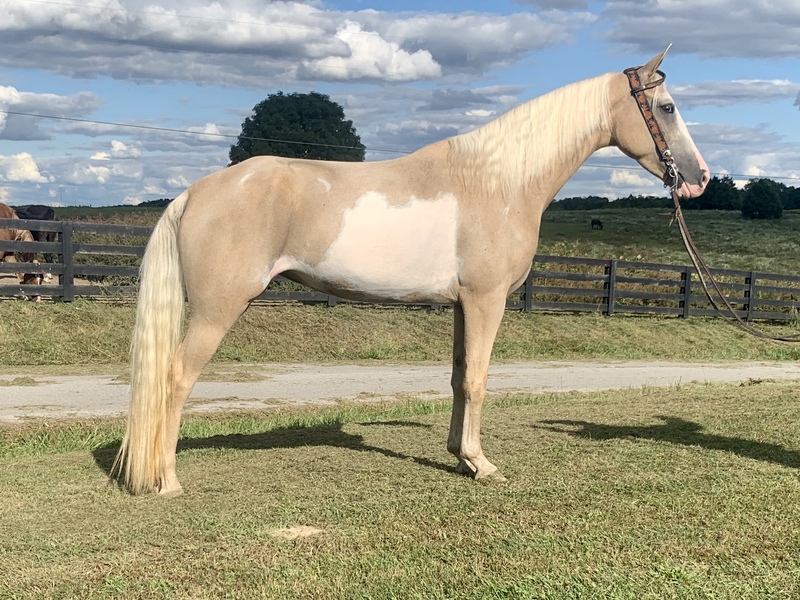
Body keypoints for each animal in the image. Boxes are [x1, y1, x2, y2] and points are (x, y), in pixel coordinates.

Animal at [115, 48, 709, 496]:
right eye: (667, 106)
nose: (699, 179)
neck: (498, 183)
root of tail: (196, 191)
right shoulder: (487, 301)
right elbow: (478, 379)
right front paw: (482, 465)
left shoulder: (463, 306)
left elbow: (458, 377)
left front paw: (460, 457)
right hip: (216, 310)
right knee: (175, 378)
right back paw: (167, 480)